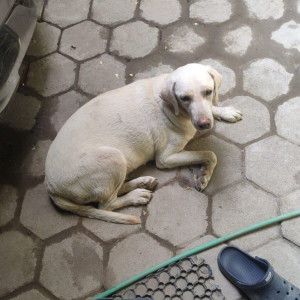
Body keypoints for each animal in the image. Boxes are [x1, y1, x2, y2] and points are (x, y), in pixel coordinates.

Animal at [45, 62, 241, 223]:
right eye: (185, 98)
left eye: (208, 92)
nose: (204, 124)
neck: (171, 107)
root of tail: (51, 188)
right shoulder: (165, 158)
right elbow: (210, 154)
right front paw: (205, 174)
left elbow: (212, 109)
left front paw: (225, 111)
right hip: (113, 157)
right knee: (106, 204)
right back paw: (136, 196)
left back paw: (142, 183)